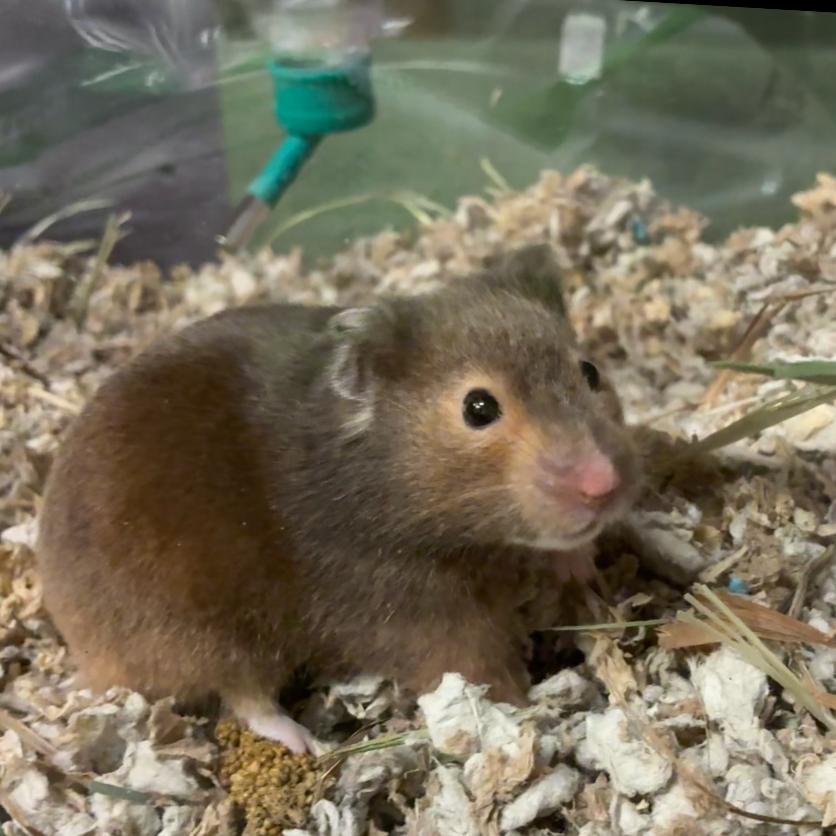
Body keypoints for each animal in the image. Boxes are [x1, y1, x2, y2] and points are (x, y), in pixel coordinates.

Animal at [37, 244, 640, 753]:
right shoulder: (404, 605)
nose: (603, 485)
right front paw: (519, 710)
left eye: (589, 371)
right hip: (196, 632)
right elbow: (470, 662)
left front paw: (581, 564)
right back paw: (306, 741)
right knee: (242, 694)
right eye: (478, 407)